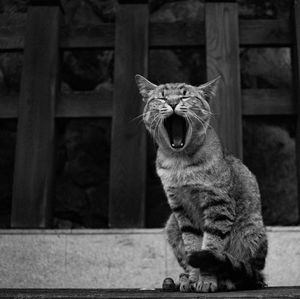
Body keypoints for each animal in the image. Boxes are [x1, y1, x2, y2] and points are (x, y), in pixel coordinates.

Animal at [135, 74, 268, 292]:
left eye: (185, 95)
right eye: (162, 97)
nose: (173, 102)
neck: (179, 163)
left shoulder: (218, 204)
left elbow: (211, 246)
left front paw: (206, 281)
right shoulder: (180, 208)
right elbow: (192, 245)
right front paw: (193, 279)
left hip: (251, 232)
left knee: (246, 274)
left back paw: (227, 280)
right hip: (171, 225)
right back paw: (178, 280)